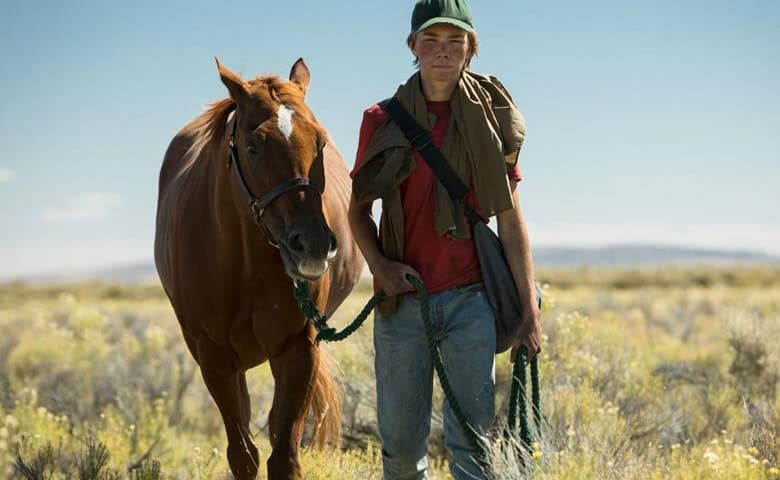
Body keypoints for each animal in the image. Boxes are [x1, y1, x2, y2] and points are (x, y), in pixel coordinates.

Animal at [154, 57, 364, 479]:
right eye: (253, 147)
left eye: (320, 142)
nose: (313, 244)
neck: (242, 260)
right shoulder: (214, 356)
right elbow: (243, 454)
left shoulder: (298, 348)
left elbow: (283, 457)